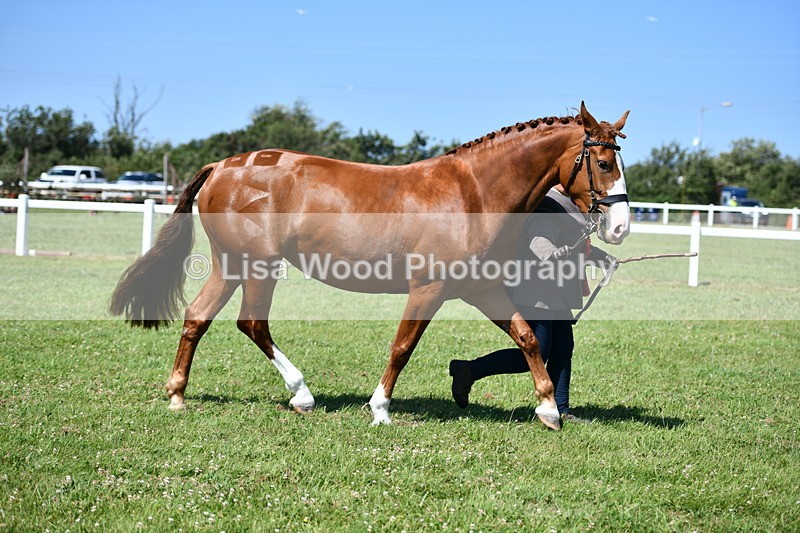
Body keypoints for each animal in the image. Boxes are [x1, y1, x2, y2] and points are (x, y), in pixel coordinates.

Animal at [110, 102, 629, 430]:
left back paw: (177, 395)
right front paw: (380, 409)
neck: (474, 193)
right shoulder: (428, 289)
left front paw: (549, 410)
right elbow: (402, 347)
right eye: (604, 163)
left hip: (231, 265)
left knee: (197, 317)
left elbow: (526, 336)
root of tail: (222, 166)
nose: (621, 226)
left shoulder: (481, 289)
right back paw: (302, 395)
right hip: (258, 266)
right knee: (252, 323)